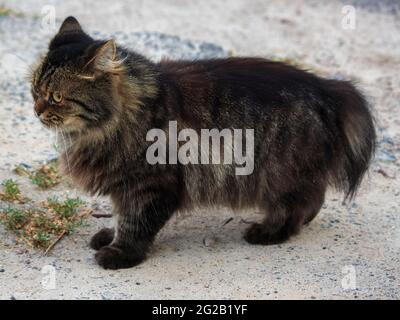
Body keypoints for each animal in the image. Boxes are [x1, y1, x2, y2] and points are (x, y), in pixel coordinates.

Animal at [30, 16, 376, 268]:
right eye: (34, 88)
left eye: (56, 97)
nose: (36, 109)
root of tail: (328, 87)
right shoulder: (125, 186)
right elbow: (120, 217)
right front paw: (109, 236)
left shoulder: (150, 185)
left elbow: (134, 224)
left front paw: (120, 254)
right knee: (314, 199)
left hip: (280, 175)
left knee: (300, 203)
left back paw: (268, 232)